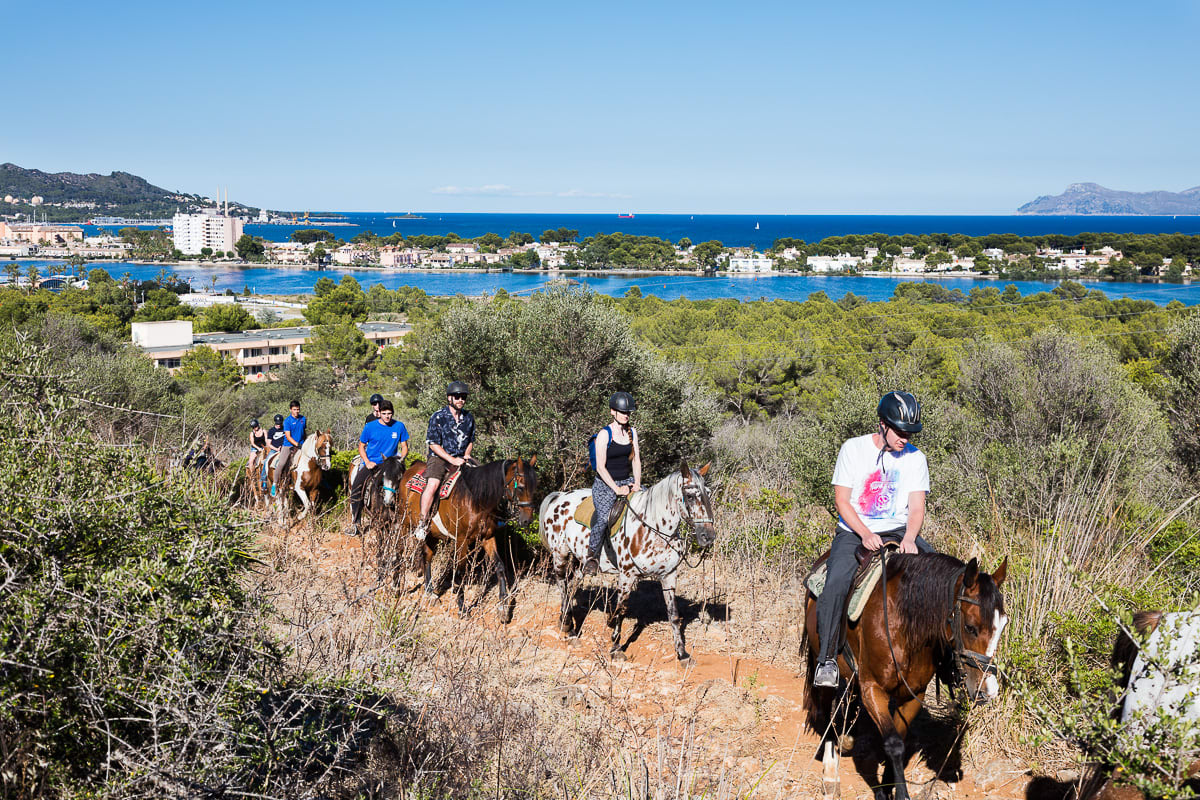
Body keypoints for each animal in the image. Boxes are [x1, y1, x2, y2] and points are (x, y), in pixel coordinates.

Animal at [393, 455, 540, 618]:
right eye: (520, 487)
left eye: (535, 488)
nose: (527, 520)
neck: (477, 500)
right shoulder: (461, 540)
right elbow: (460, 572)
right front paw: (462, 607)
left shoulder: (487, 538)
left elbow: (500, 566)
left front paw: (503, 607)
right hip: (404, 523)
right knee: (399, 550)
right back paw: (396, 586)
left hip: (431, 534)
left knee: (427, 556)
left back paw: (430, 592)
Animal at [540, 460, 715, 666]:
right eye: (690, 496)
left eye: (708, 493)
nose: (708, 536)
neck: (654, 527)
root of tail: (559, 496)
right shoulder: (627, 575)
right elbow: (621, 609)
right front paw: (615, 648)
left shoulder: (669, 576)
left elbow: (673, 614)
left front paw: (682, 654)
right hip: (560, 554)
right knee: (562, 583)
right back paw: (569, 628)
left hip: (581, 560)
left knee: (572, 584)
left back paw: (565, 620)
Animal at [801, 551, 1008, 800]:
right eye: (970, 627)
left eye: (1003, 625)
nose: (988, 691)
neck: (905, 626)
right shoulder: (873, 689)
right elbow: (894, 744)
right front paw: (895, 793)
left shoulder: (912, 696)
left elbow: (899, 737)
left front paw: (886, 787)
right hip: (821, 663)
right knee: (825, 712)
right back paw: (831, 774)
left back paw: (848, 738)